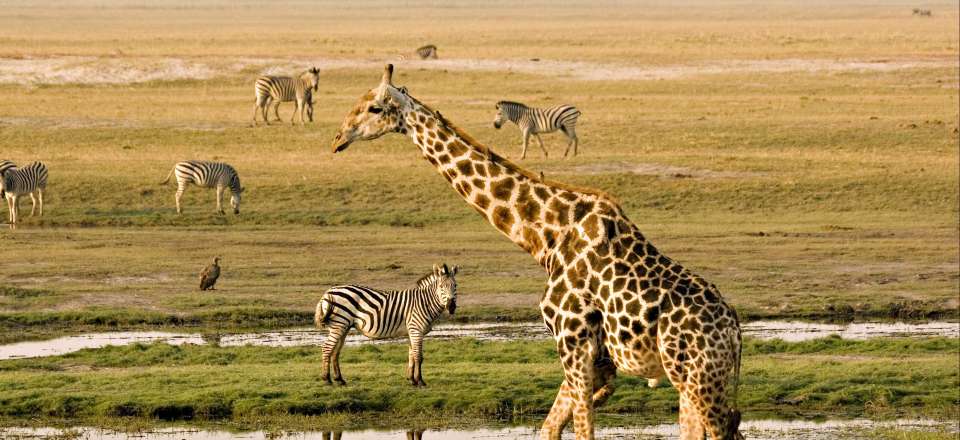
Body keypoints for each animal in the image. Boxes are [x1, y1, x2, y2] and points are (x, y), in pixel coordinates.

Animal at [316, 262, 462, 386]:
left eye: (455, 286)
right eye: (441, 287)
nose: (451, 306)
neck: (424, 302)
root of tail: (327, 292)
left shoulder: (411, 331)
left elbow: (411, 356)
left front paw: (411, 380)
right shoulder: (416, 330)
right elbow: (418, 357)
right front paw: (420, 381)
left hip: (344, 326)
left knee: (335, 351)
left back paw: (339, 379)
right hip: (339, 324)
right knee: (327, 348)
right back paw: (326, 379)